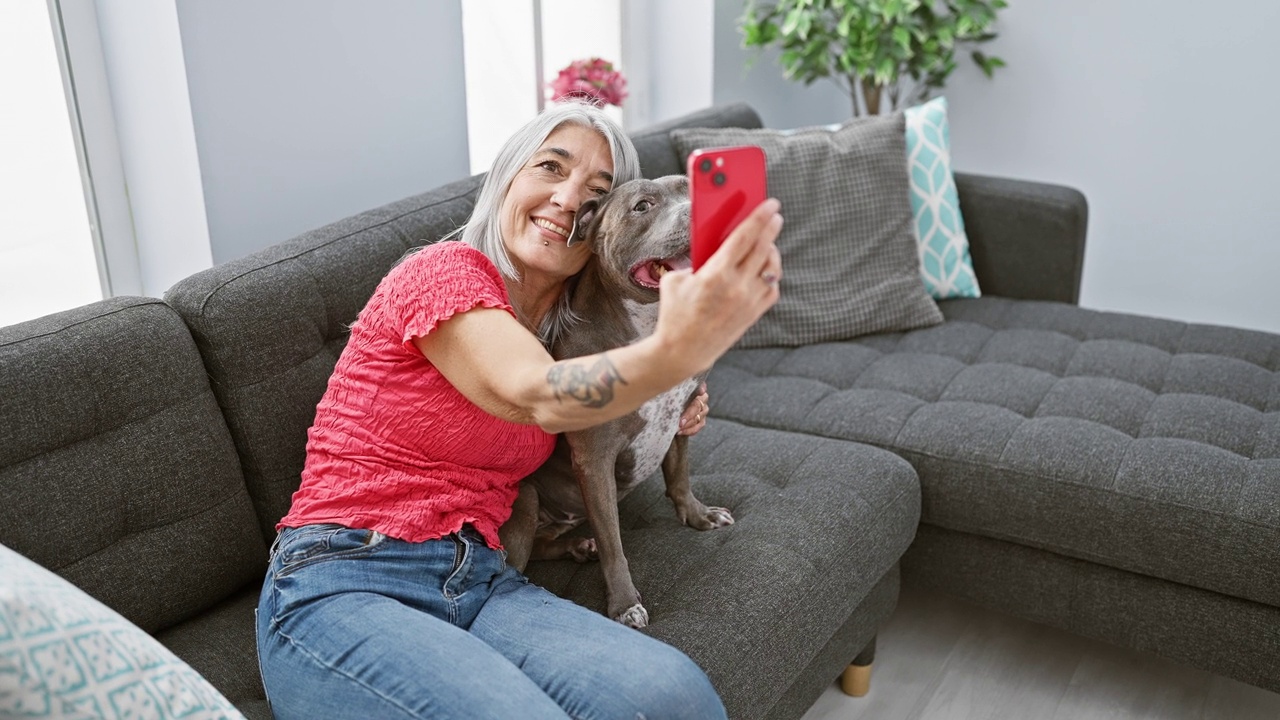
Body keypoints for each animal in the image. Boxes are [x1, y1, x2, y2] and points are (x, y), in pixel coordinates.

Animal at [501, 175, 737, 627]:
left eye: (689, 185)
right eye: (642, 206)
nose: (703, 209)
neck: (650, 329)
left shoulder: (681, 413)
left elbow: (679, 476)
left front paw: (698, 515)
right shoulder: (595, 460)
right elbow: (614, 544)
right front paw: (624, 603)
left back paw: (576, 546)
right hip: (525, 503)